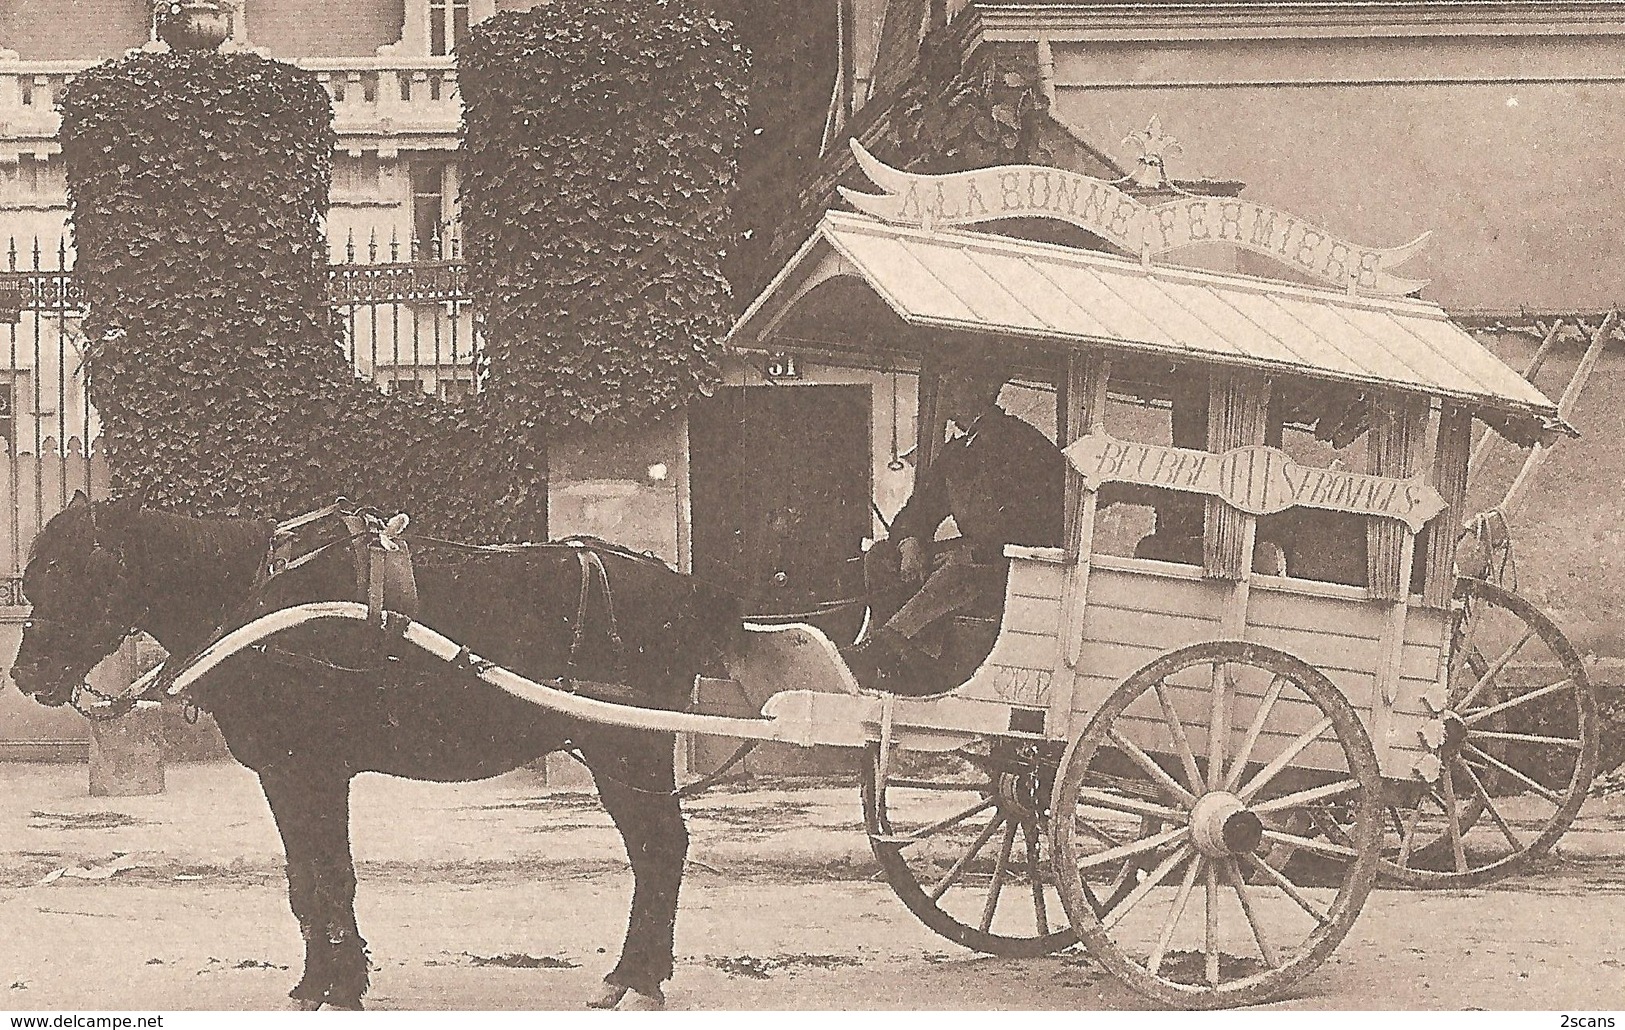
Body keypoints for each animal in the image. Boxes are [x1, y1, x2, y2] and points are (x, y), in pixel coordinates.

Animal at [7, 493, 737, 1007]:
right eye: (35, 575)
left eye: (79, 571)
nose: (26, 675)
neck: (262, 605)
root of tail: (682, 586)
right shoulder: (285, 775)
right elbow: (305, 879)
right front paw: (321, 981)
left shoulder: (313, 772)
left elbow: (330, 875)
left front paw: (338, 985)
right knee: (656, 851)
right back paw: (639, 974)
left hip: (627, 750)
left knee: (659, 850)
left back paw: (635, 975)